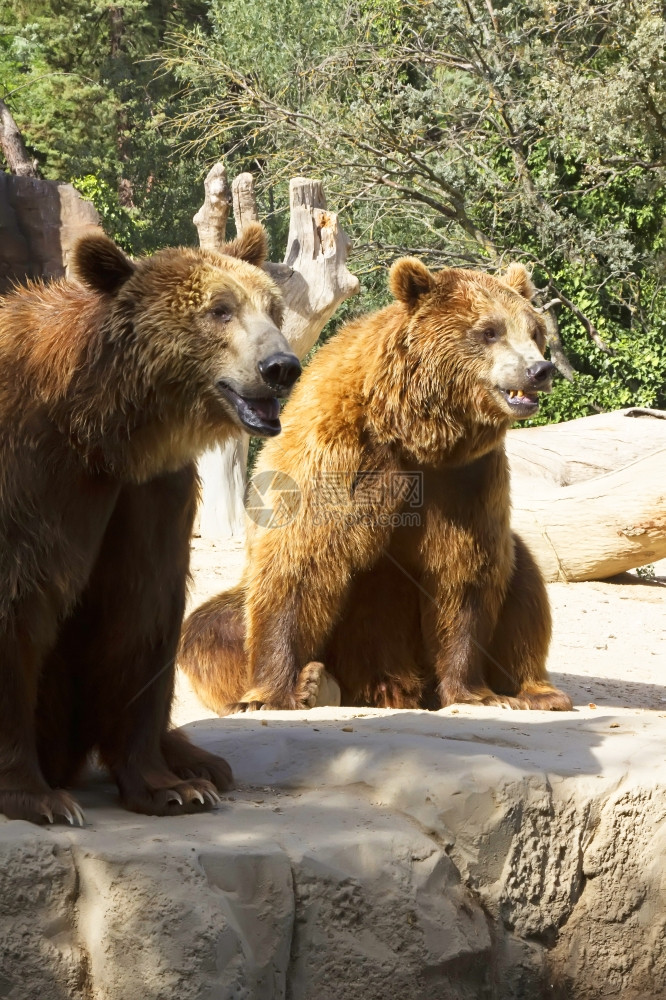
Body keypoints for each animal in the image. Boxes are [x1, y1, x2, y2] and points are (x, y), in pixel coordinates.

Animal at [0, 223, 298, 824]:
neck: (98, 434)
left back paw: (197, 760)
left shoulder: (151, 492)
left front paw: (171, 788)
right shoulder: (30, 476)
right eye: (219, 310)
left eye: (272, 307)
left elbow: (141, 611)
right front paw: (40, 798)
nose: (281, 367)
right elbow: (17, 608)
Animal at [180, 254, 572, 716]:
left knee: (524, 581)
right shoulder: (336, 452)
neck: (416, 433)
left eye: (534, 330)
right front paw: (273, 695)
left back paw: (538, 693)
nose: (539, 369)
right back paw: (321, 684)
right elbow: (300, 564)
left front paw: (476, 693)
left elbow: (464, 577)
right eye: (489, 330)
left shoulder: (469, 478)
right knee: (207, 629)